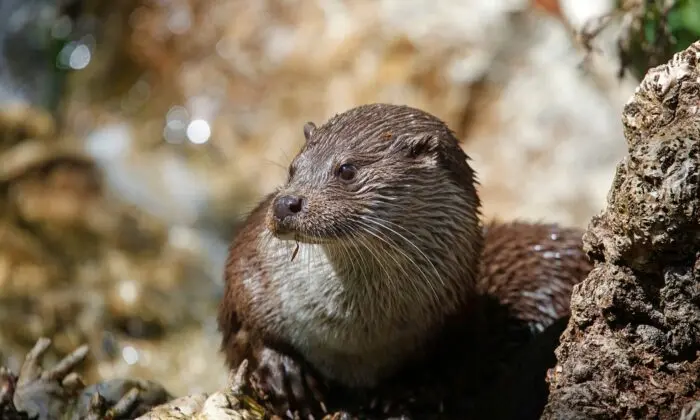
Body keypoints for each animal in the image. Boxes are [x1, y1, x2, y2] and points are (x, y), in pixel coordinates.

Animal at [218, 103, 592, 418]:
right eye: (293, 168)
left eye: (347, 169)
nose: (286, 203)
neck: (354, 342)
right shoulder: (250, 268)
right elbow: (243, 328)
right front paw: (283, 370)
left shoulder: (458, 324)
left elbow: (457, 369)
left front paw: (404, 395)